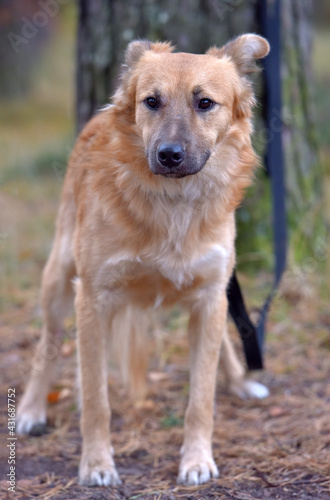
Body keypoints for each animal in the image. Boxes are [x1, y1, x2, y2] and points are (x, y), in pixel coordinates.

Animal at [16, 34, 270, 484]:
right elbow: (96, 399)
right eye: (151, 101)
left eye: (205, 103)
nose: (168, 155)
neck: (172, 203)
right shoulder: (93, 298)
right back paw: (31, 409)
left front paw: (197, 458)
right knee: (48, 343)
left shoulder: (210, 295)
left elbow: (201, 396)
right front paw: (97, 463)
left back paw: (240, 381)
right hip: (59, 277)